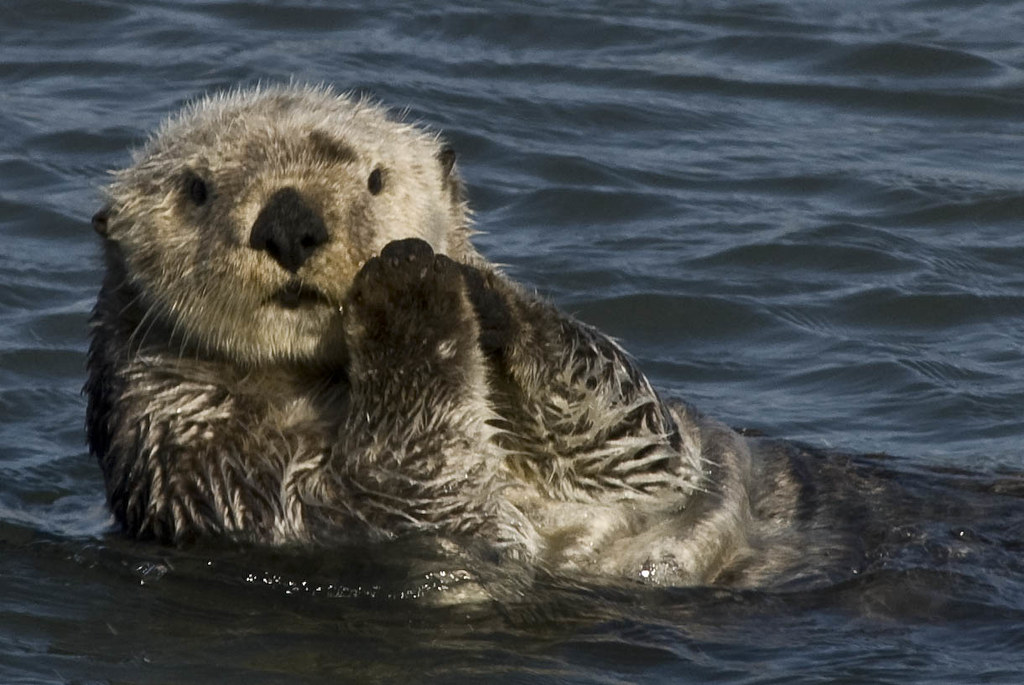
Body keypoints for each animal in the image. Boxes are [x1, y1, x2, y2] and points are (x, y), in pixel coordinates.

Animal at [87, 84, 871, 589]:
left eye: (376, 178)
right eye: (194, 189)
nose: (288, 221)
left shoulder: (651, 460)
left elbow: (633, 429)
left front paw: (472, 283)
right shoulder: (216, 465)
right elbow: (419, 494)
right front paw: (407, 286)